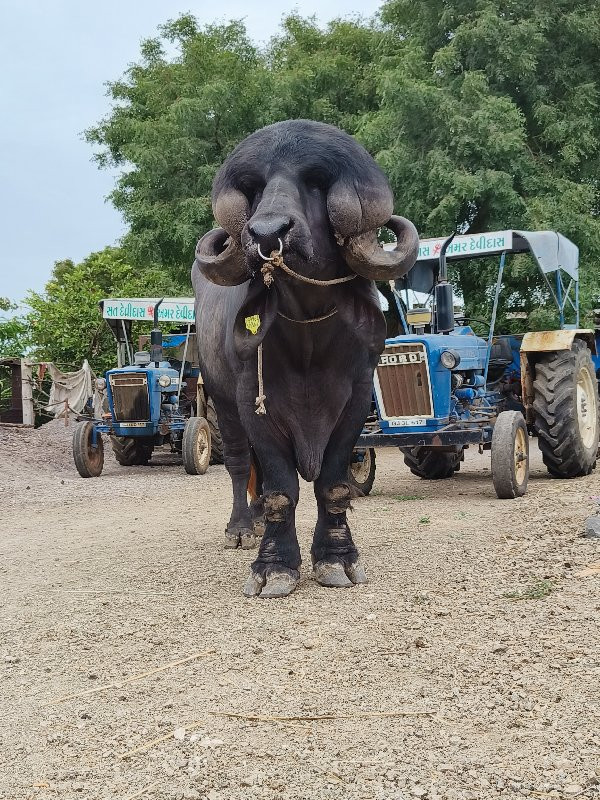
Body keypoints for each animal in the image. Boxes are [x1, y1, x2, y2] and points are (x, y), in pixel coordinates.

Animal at [192, 117, 418, 592]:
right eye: (255, 188)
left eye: (314, 182)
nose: (266, 233)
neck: (308, 333)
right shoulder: (253, 402)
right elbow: (280, 488)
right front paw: (274, 566)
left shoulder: (356, 401)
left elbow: (334, 484)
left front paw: (337, 559)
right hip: (221, 399)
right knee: (240, 464)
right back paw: (242, 526)